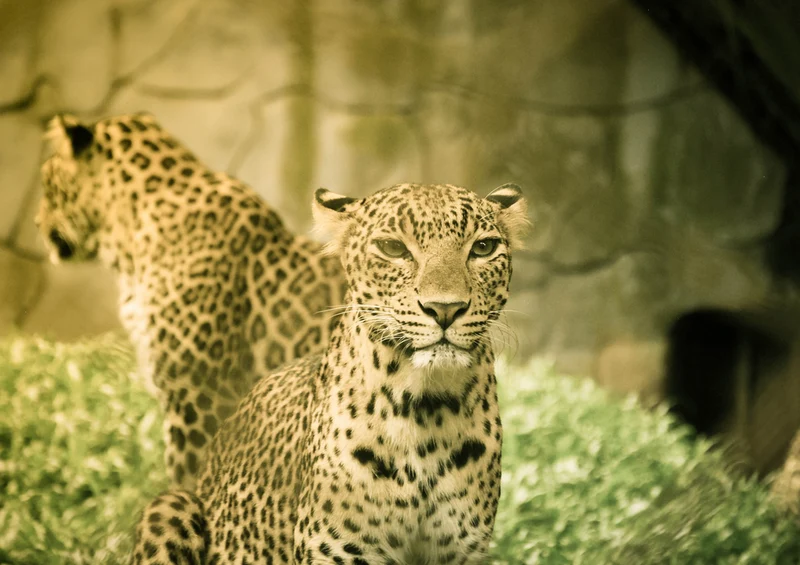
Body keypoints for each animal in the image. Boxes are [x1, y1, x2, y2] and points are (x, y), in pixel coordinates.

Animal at [130, 182, 529, 564]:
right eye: (392, 248)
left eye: (483, 248)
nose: (445, 309)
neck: (427, 411)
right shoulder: (339, 549)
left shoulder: (460, 551)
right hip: (170, 505)